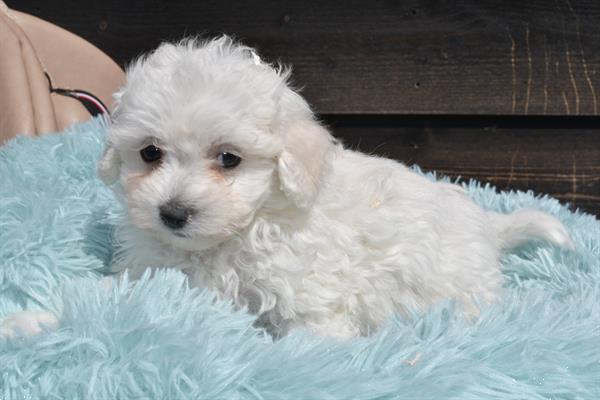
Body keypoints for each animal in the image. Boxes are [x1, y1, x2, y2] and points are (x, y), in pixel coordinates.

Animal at [0, 36, 572, 340]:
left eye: (228, 159)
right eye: (150, 153)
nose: (173, 213)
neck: (233, 237)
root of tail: (488, 227)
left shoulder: (310, 299)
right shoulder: (153, 275)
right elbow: (93, 299)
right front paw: (28, 321)